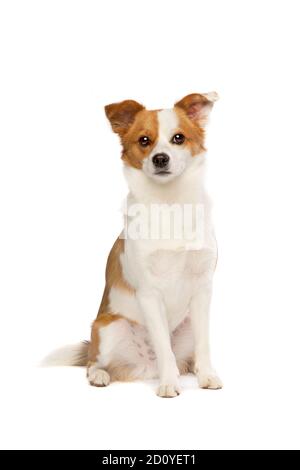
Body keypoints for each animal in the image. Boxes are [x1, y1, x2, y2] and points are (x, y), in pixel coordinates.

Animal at [45, 93, 223, 398]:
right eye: (144, 140)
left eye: (178, 138)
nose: (160, 158)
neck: (170, 205)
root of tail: (145, 367)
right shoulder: (149, 293)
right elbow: (164, 347)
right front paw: (168, 383)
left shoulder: (202, 289)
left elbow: (204, 344)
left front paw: (208, 376)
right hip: (107, 327)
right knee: (93, 361)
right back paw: (101, 376)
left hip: (186, 324)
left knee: (185, 358)